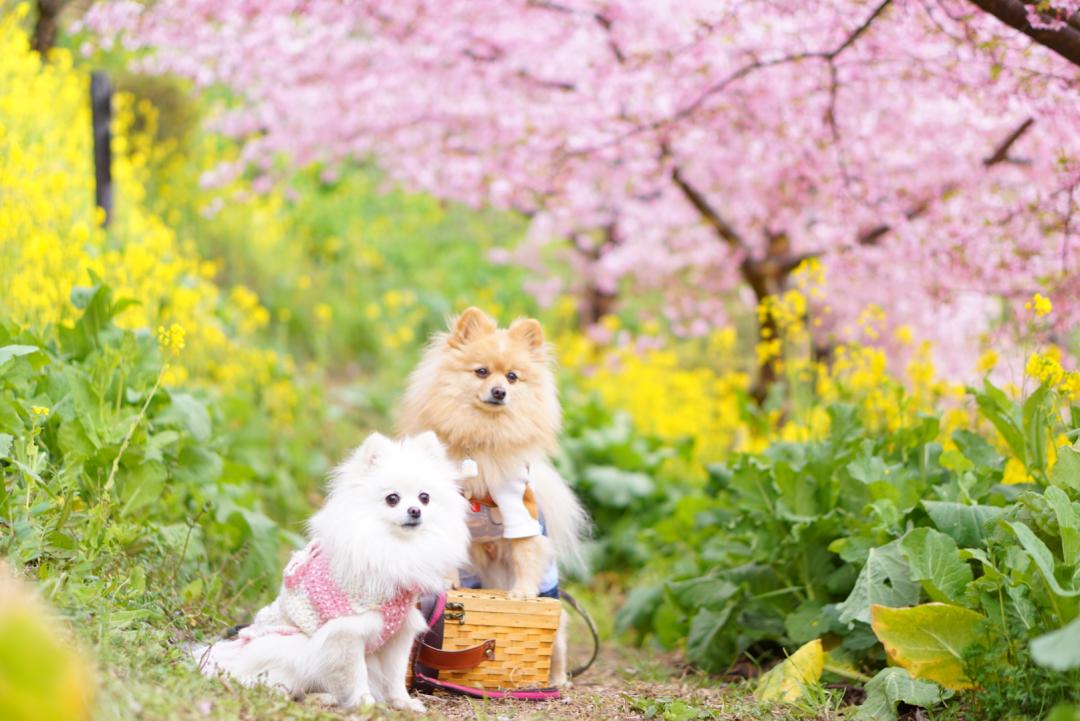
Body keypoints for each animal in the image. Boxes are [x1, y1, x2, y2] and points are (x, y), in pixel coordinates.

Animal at [193, 433, 468, 708]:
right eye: (392, 498)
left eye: (424, 497)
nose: (415, 510)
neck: (394, 546)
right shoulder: (347, 633)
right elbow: (357, 674)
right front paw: (365, 703)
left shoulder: (399, 633)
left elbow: (395, 675)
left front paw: (403, 703)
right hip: (292, 646)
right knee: (269, 686)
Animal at [397, 306, 587, 686]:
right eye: (481, 372)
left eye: (512, 377)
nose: (499, 391)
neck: (482, 438)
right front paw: (447, 581)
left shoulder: (519, 508)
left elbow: (526, 553)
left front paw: (522, 593)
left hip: (552, 594)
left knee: (559, 637)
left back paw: (557, 680)